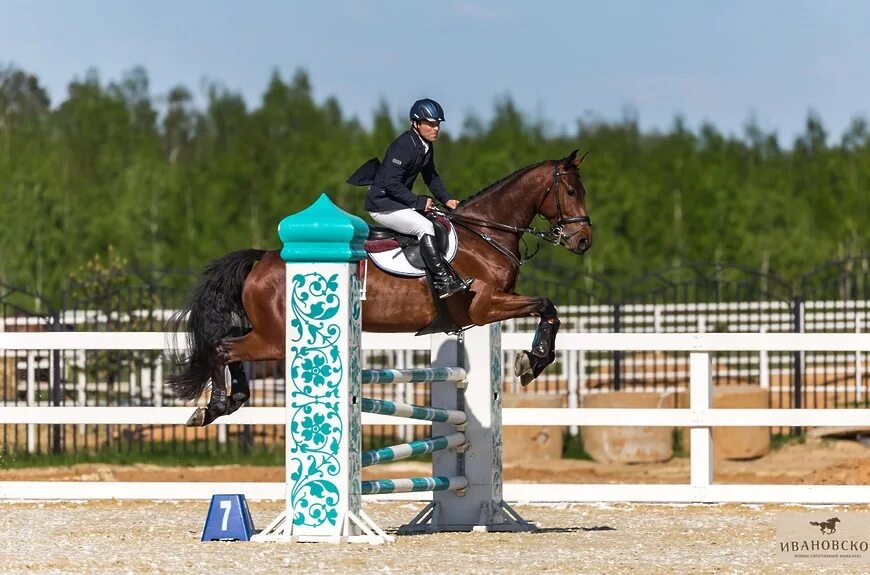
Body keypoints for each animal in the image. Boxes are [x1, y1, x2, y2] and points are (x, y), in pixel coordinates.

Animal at [169, 150, 592, 428]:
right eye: (571, 192)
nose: (583, 241)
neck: (486, 232)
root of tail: (261, 259)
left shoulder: (492, 306)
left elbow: (549, 309)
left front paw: (531, 361)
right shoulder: (485, 306)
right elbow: (547, 306)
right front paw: (532, 362)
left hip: (266, 333)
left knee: (228, 346)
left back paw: (231, 401)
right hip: (276, 339)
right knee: (224, 349)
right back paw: (215, 407)